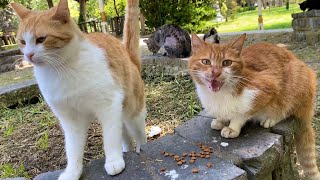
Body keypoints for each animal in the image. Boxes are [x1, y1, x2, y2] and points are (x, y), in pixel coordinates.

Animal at [9, 0, 145, 179]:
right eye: (23, 42)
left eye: (41, 39)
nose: (28, 55)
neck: (61, 70)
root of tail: (128, 55)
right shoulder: (70, 120)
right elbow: (72, 148)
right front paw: (72, 172)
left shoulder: (108, 106)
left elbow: (110, 137)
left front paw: (113, 160)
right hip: (120, 114)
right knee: (123, 135)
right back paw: (127, 150)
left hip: (133, 115)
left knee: (138, 133)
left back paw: (140, 148)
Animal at [188, 33, 320, 179]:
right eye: (206, 61)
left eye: (227, 62)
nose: (215, 73)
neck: (218, 95)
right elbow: (222, 114)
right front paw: (220, 120)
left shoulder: (266, 88)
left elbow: (242, 114)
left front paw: (232, 127)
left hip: (296, 82)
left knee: (287, 109)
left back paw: (271, 118)